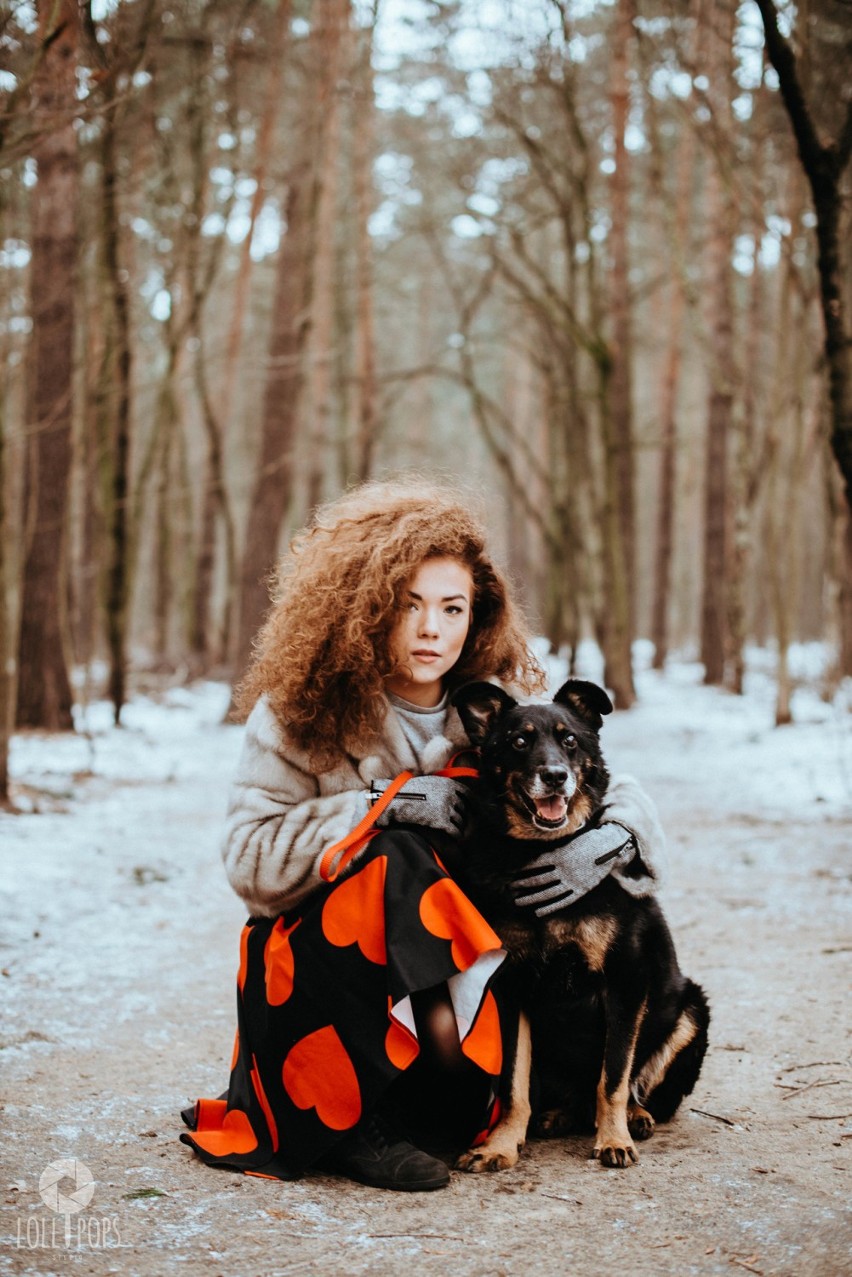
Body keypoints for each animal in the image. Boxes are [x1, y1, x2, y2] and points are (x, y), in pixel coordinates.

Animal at [449, 684, 710, 1169]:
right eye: (519, 741)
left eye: (569, 740)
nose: (555, 776)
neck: (541, 848)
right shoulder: (511, 988)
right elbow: (513, 1085)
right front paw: (500, 1144)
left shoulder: (625, 981)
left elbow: (613, 1076)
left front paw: (613, 1139)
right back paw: (558, 1115)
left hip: (689, 1013)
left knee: (634, 1085)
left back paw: (634, 1117)